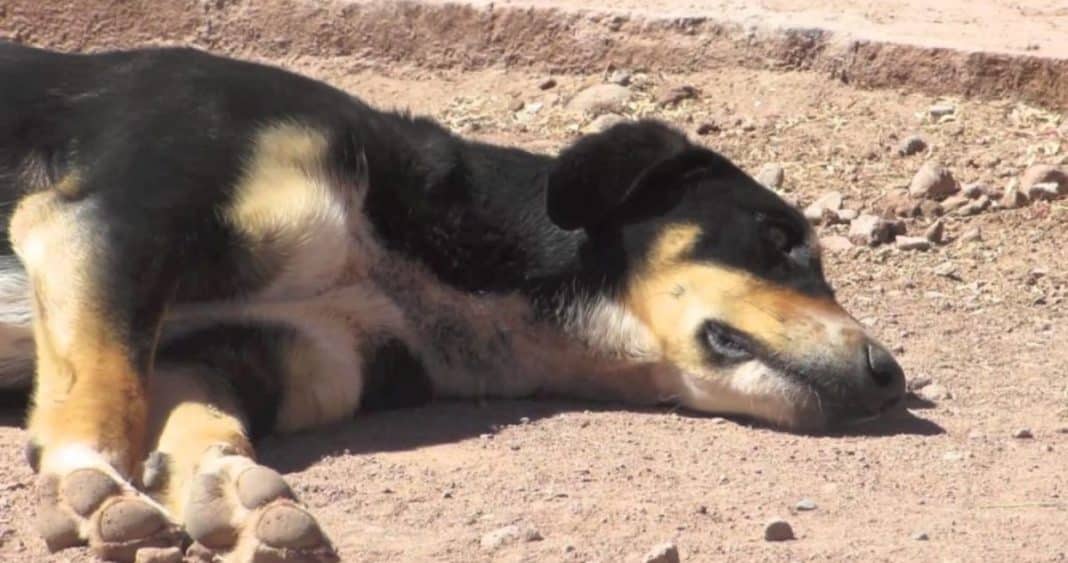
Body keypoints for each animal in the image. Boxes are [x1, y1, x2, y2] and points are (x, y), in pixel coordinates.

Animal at [0, 41, 905, 559]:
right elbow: (106, 386)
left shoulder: (246, 353)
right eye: (779, 236)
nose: (891, 375)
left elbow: (200, 419)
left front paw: (240, 494)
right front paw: (91, 485)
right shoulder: (113, 221)